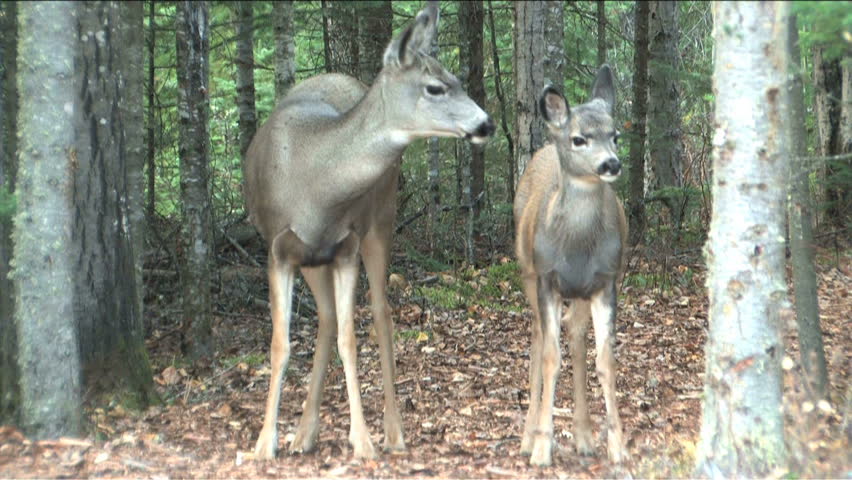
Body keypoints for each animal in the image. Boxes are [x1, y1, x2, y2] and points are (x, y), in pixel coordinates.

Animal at [243, 1, 494, 461]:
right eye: (435, 87)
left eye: (455, 78)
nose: (486, 125)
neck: (315, 185)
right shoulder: (278, 249)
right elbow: (280, 344)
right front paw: (264, 442)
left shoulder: (347, 246)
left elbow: (350, 341)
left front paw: (362, 439)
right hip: (314, 259)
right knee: (325, 318)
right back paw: (304, 433)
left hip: (381, 221)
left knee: (380, 314)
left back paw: (393, 432)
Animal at [513, 65, 628, 467]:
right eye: (579, 139)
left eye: (615, 134)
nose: (611, 163)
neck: (577, 248)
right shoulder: (547, 279)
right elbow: (551, 357)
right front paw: (542, 447)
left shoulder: (606, 281)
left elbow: (606, 360)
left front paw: (618, 446)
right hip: (527, 273)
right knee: (536, 340)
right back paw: (528, 437)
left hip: (579, 292)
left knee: (577, 338)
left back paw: (584, 436)